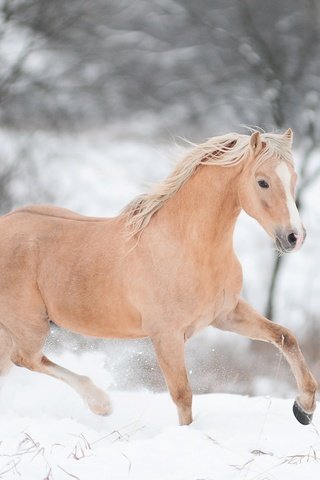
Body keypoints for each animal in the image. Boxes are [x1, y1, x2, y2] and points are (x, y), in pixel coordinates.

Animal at [0, 127, 316, 424]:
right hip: (31, 325)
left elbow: (285, 337)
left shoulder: (226, 314)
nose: (295, 237)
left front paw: (304, 408)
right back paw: (100, 403)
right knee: (26, 358)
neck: (187, 247)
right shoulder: (166, 335)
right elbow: (182, 394)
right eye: (262, 181)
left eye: (294, 178)